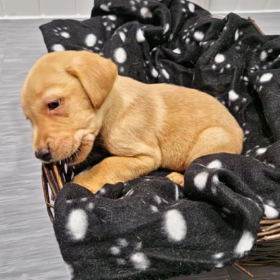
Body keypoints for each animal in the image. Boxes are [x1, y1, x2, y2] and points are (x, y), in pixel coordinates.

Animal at [20, 50, 243, 192]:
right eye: (28, 119)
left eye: (54, 104)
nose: (41, 155)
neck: (113, 109)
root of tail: (241, 134)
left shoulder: (145, 156)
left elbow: (107, 164)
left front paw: (81, 182)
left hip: (211, 139)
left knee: (197, 169)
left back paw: (178, 178)